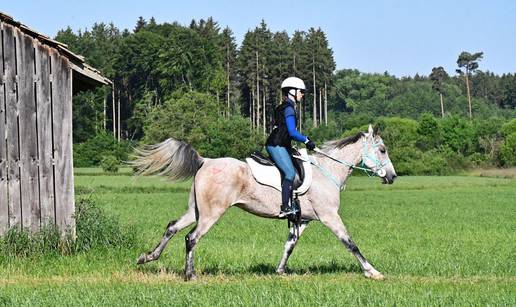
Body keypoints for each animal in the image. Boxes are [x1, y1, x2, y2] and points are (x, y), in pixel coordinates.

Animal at [132, 124, 396, 280]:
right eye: (382, 150)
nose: (392, 177)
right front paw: (372, 272)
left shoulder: (303, 220)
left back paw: (148, 257)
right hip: (211, 214)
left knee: (172, 227)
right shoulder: (329, 216)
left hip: (195, 211)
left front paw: (279, 271)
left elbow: (289, 245)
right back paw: (190, 275)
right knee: (191, 238)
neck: (327, 171)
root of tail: (205, 161)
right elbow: (350, 244)